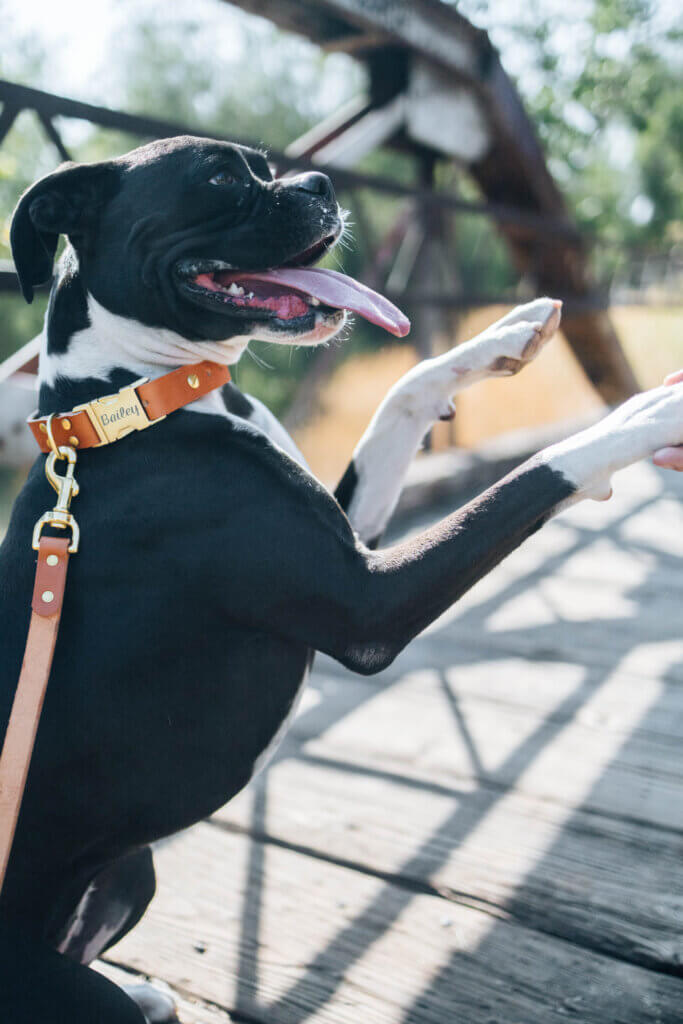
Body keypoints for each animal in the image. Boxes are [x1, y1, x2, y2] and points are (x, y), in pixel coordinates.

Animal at [1, 138, 683, 1024]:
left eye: (264, 166)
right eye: (218, 176)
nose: (319, 181)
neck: (129, 404)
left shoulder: (356, 540)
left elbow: (403, 391)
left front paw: (503, 334)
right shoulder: (369, 607)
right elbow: (534, 474)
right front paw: (641, 417)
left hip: (132, 868)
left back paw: (147, 992)